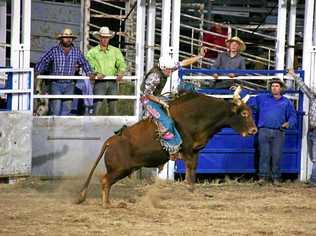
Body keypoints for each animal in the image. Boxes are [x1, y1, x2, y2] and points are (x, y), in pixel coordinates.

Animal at [76, 89, 256, 206]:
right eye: (244, 114)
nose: (254, 130)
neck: (201, 115)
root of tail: (112, 140)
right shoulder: (188, 149)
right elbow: (190, 167)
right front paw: (189, 187)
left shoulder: (195, 150)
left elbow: (193, 168)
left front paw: (191, 188)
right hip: (120, 169)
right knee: (105, 180)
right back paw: (107, 204)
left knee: (106, 181)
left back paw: (108, 202)